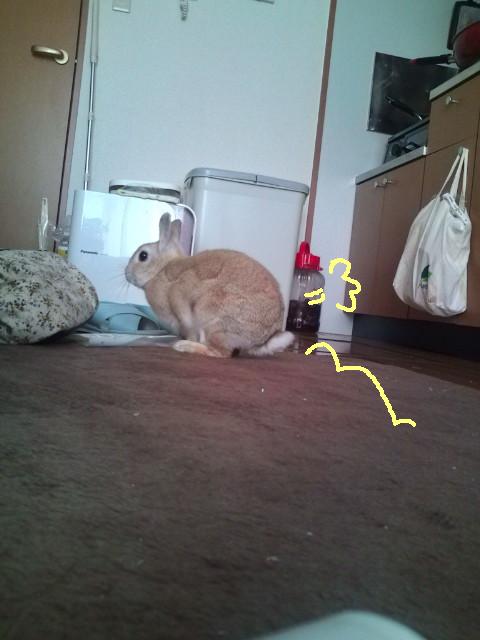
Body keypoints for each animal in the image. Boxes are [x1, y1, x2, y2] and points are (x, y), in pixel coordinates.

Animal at [125, 213, 294, 358]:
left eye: (143, 256)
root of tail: (264, 338)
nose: (126, 274)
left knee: (220, 352)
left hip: (210, 317)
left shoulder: (180, 304)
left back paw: (184, 346)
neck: (160, 270)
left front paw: (185, 341)